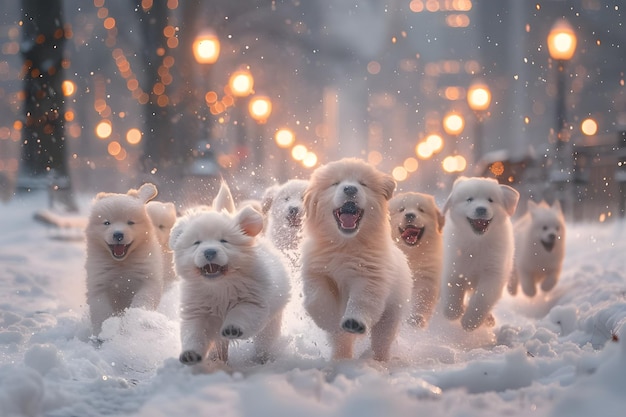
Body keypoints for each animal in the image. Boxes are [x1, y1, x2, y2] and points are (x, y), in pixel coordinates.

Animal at [85, 182, 163, 334]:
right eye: (107, 223)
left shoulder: (148, 277)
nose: (118, 234)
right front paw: (106, 329)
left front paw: (134, 318)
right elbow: (102, 310)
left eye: (130, 222)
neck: (122, 264)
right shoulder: (99, 282)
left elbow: (142, 299)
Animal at [168, 182, 290, 364]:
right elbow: (194, 334)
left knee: (265, 340)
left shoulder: (253, 301)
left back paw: (261, 358)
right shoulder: (197, 311)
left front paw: (232, 328)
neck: (219, 286)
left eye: (224, 241)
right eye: (197, 243)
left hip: (272, 320)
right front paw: (190, 354)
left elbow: (241, 313)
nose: (209, 252)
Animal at [300, 158, 412, 360]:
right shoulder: (316, 269)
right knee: (341, 341)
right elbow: (316, 297)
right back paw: (340, 358)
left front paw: (354, 322)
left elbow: (362, 299)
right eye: (335, 183)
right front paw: (329, 320)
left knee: (382, 338)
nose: (350, 189)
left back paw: (378, 360)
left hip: (391, 311)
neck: (345, 245)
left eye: (363, 184)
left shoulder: (371, 274)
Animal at [388, 190, 442, 326]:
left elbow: (422, 300)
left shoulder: (426, 277)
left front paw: (416, 319)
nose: (410, 215)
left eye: (421, 210)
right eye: (401, 209)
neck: (410, 254)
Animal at [438, 176, 516, 332]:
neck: (477, 241)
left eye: (490, 200)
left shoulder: (493, 273)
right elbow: (452, 289)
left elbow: (482, 298)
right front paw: (453, 312)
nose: (481, 209)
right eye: (469, 199)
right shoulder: (454, 265)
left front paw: (470, 321)